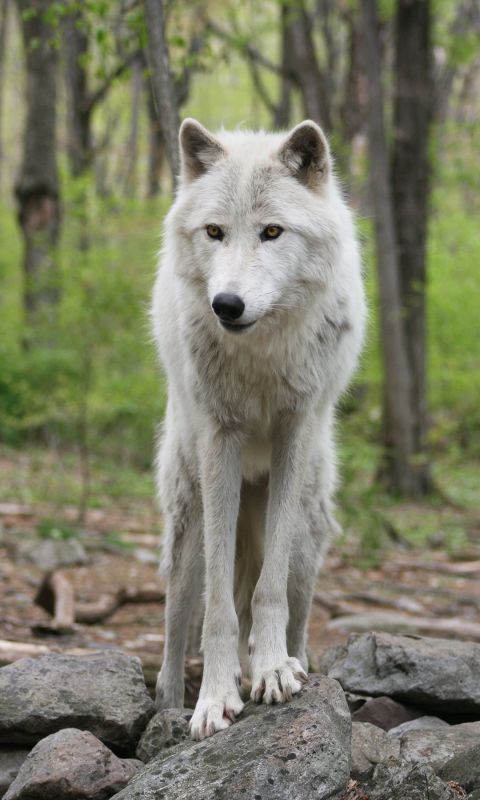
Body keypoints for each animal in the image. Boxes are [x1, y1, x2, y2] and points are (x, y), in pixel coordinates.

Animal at [152, 117, 366, 736]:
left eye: (272, 231)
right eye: (215, 232)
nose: (227, 304)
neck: (262, 353)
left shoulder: (294, 432)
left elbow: (267, 594)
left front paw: (271, 671)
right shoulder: (220, 441)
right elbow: (219, 611)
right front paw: (215, 698)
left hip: (307, 536)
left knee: (293, 608)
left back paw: (293, 662)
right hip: (189, 523)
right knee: (177, 625)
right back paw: (170, 704)